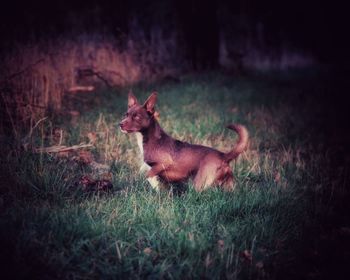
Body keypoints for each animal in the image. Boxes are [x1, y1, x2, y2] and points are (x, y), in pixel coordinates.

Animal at [120, 91, 249, 191]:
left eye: (136, 117)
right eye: (126, 114)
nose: (120, 124)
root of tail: (223, 156)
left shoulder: (164, 163)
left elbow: (149, 175)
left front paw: (156, 187)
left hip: (200, 183)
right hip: (229, 185)